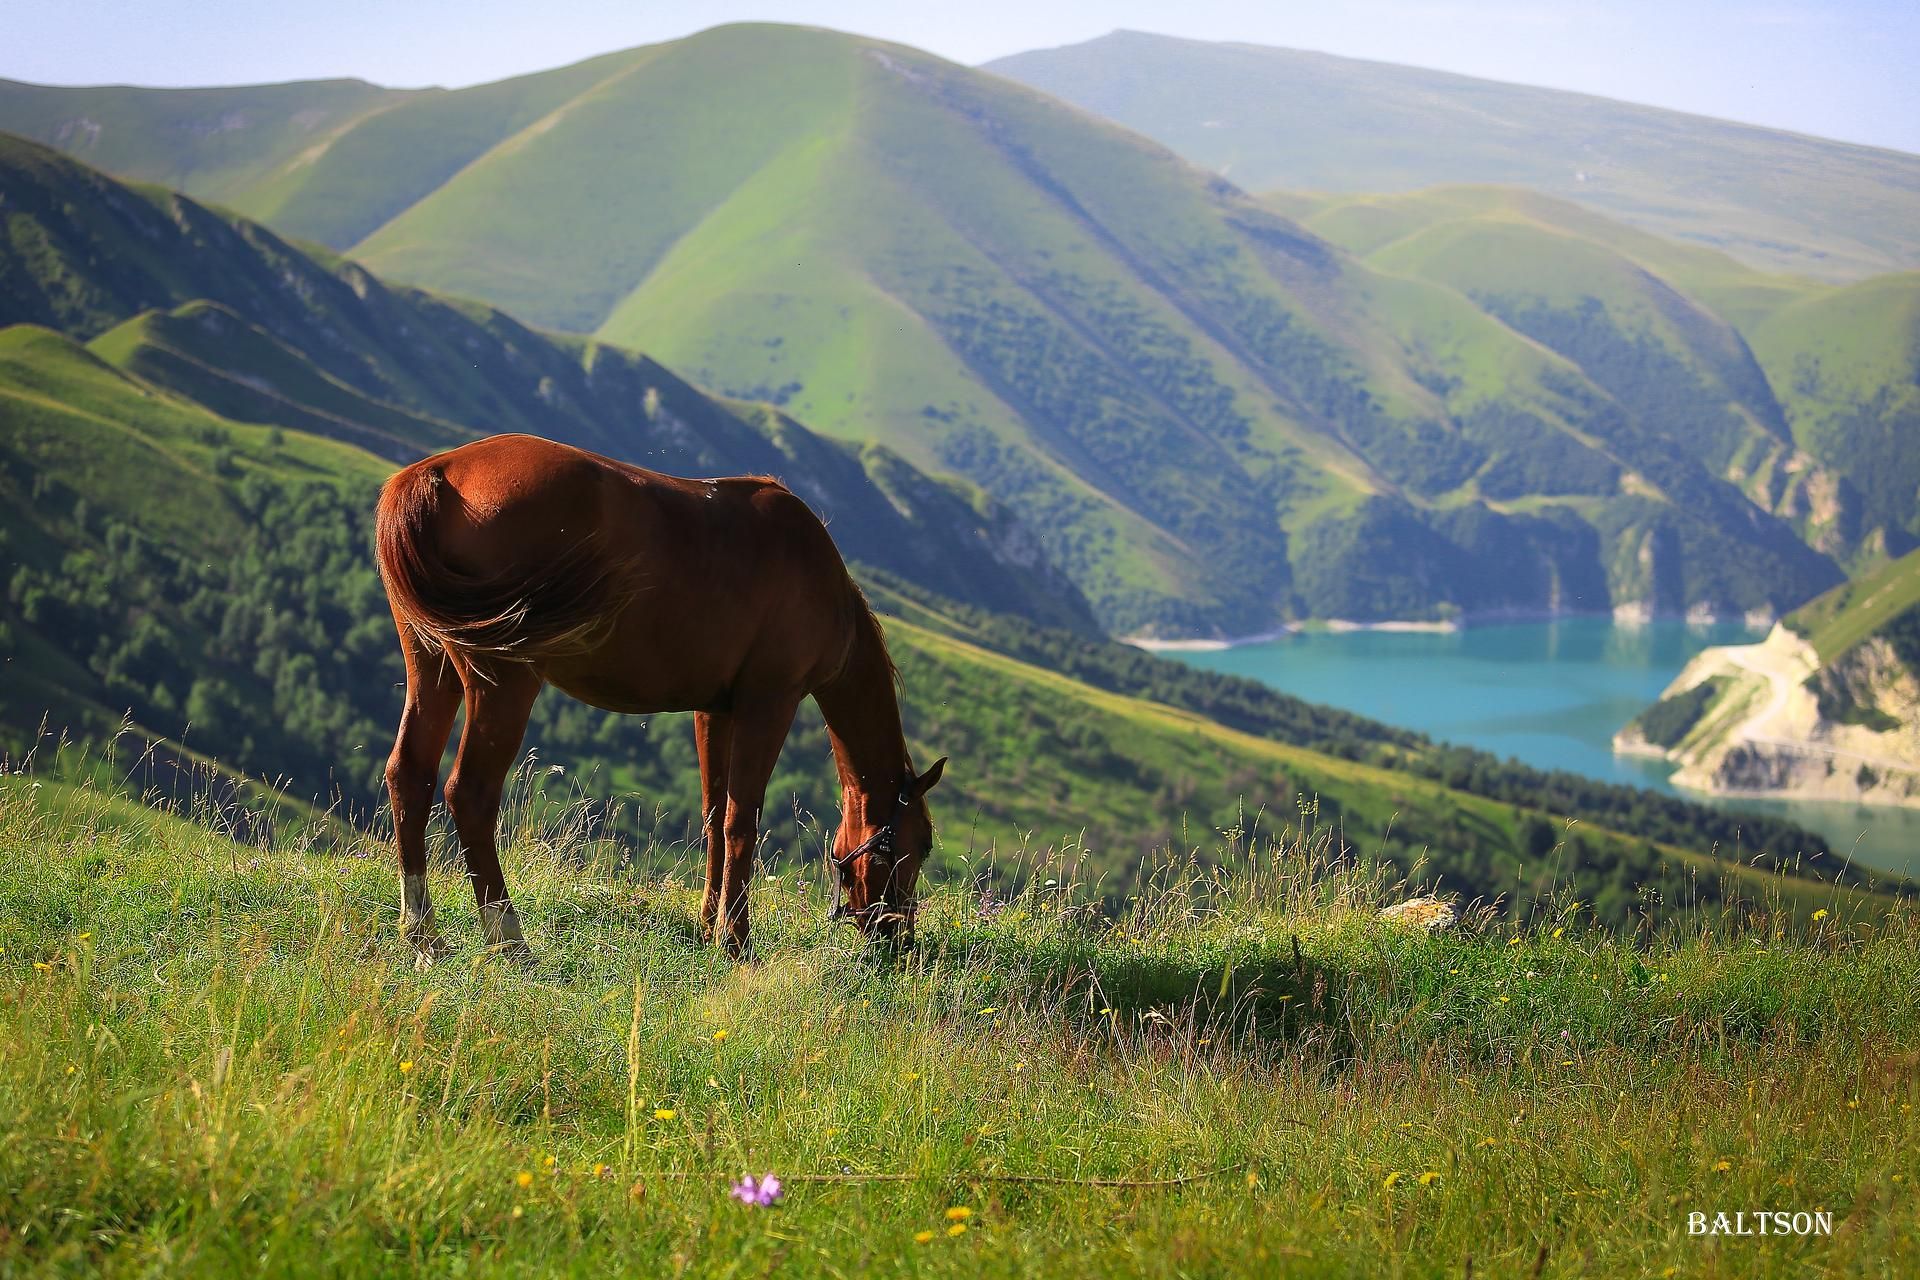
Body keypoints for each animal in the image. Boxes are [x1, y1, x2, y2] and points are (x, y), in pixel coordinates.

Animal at [372, 435, 944, 955]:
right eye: (920, 845)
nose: (900, 941)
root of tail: (436, 474)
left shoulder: (716, 711)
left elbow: (715, 815)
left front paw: (708, 926)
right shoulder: (769, 703)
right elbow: (742, 821)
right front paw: (736, 941)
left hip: (432, 662)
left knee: (410, 775)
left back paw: (421, 934)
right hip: (505, 682)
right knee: (469, 793)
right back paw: (509, 938)